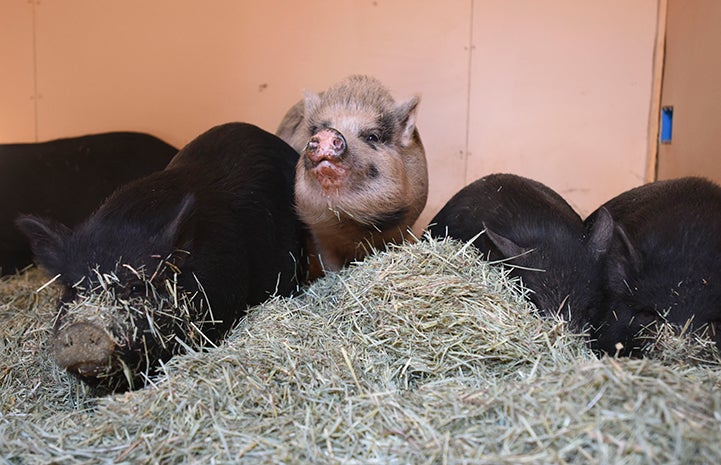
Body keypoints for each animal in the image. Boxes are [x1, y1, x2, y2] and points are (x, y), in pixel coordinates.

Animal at [276, 75, 424, 278]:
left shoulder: (405, 224)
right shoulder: (318, 231)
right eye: (317, 130)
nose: (327, 133)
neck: (349, 221)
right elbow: (329, 263)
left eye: (372, 137)